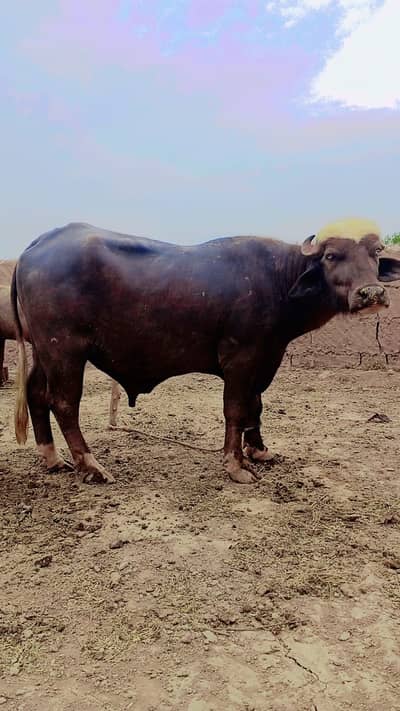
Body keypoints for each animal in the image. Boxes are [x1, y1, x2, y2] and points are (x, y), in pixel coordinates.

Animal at [12, 219, 400, 485]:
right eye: (332, 255)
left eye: (376, 252)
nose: (372, 294)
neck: (280, 279)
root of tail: (38, 244)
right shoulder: (240, 359)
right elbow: (236, 409)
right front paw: (235, 465)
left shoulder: (267, 357)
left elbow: (256, 406)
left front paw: (259, 450)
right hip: (65, 349)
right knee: (63, 402)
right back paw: (91, 466)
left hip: (43, 351)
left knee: (36, 393)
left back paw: (52, 458)